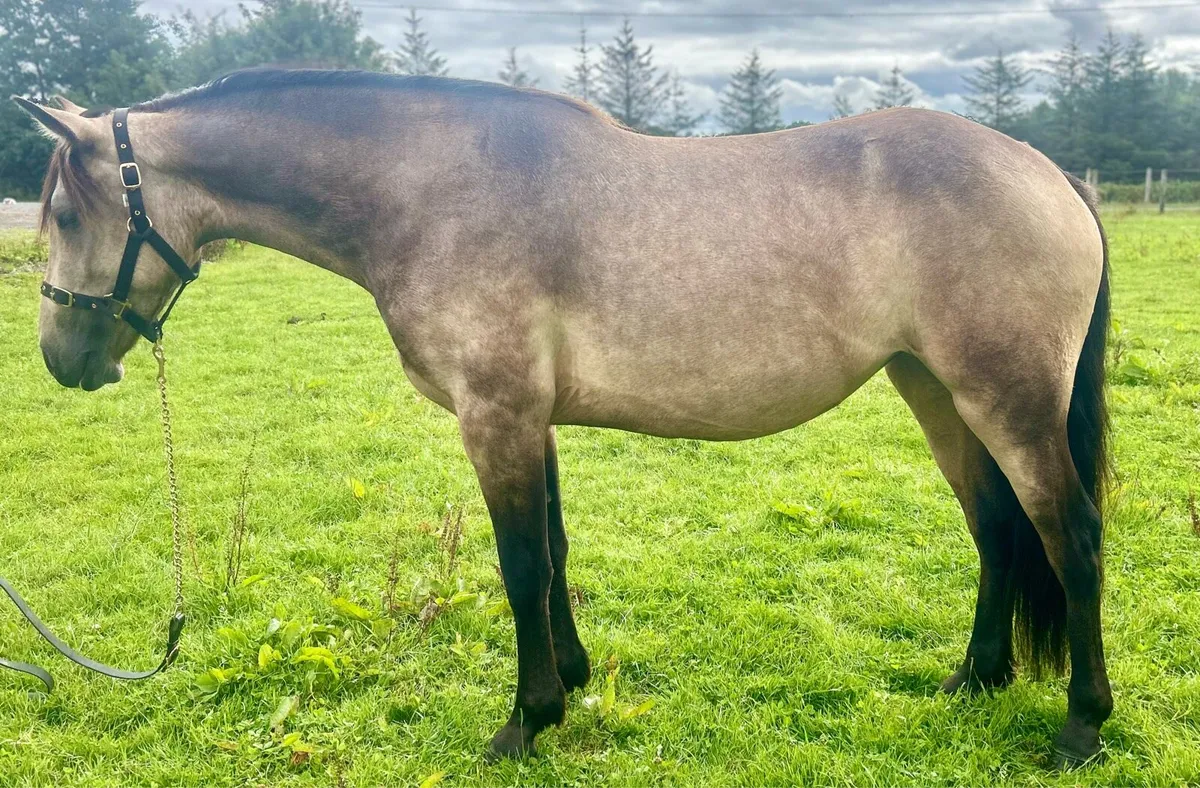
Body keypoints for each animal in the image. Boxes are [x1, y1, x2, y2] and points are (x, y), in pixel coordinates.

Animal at [15, 69, 1111, 767]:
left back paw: (1079, 726)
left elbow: (519, 564)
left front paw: (524, 721)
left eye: (63, 215)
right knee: (998, 530)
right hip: (932, 388)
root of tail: (1047, 170)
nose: (61, 361)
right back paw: (976, 679)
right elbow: (552, 547)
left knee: (1073, 537)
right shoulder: (528, 418)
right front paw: (572, 681)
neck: (430, 193)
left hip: (1004, 399)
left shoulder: (494, 413)